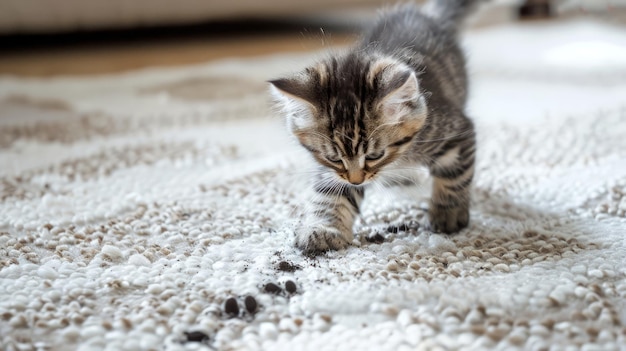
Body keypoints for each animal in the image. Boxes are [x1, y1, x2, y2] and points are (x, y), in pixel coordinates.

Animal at [270, 0, 478, 253]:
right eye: (334, 158)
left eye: (374, 155)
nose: (356, 181)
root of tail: (427, 14)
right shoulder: (333, 170)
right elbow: (331, 192)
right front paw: (323, 228)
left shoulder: (455, 132)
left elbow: (454, 175)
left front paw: (448, 213)